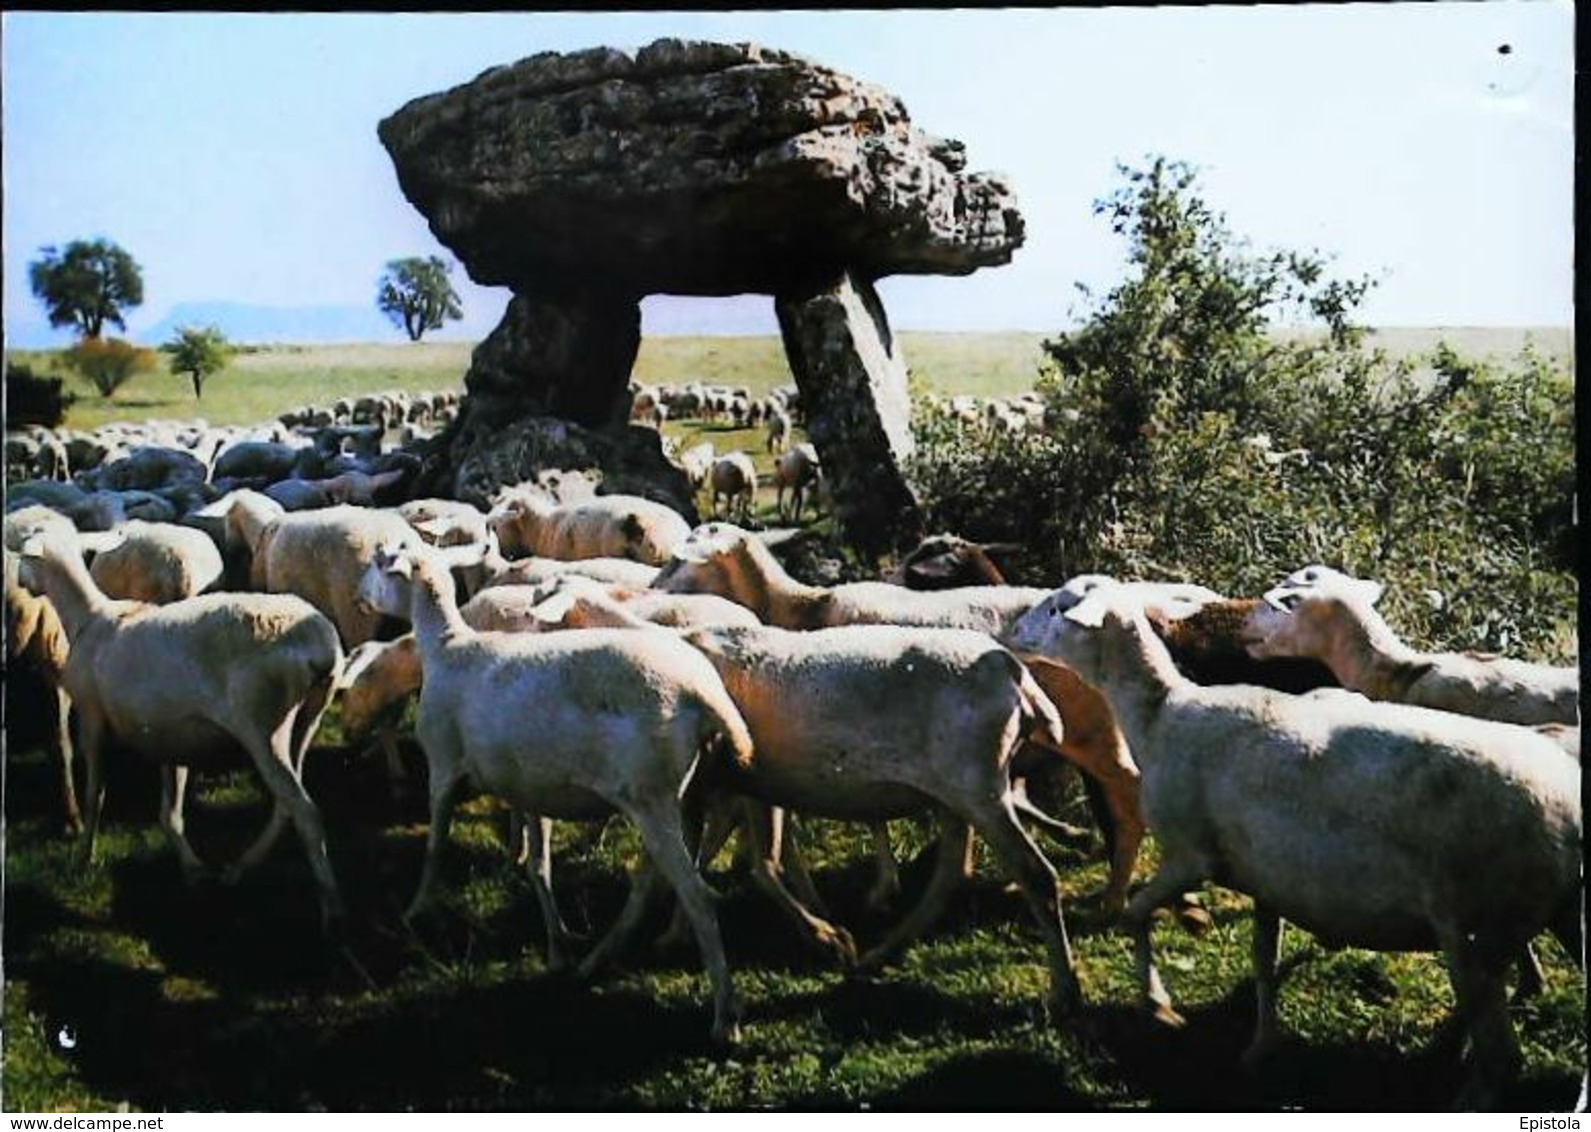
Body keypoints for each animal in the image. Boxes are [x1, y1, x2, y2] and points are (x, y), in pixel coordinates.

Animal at [17, 524, 346, 934]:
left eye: (24, 555)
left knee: (304, 811)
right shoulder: (168, 732)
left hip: (262, 726)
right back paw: (238, 870)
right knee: (285, 806)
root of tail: (322, 647)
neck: (89, 619)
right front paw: (193, 870)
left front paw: (83, 856)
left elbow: (95, 795)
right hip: (308, 717)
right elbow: (170, 810)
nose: (19, 581)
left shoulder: (91, 717)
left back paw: (331, 907)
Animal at [359, 543, 750, 1036]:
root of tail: (702, 693)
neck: (447, 647)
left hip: (650, 796)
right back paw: (596, 960)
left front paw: (416, 910)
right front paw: (558, 945)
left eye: (380, 561)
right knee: (651, 882)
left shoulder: (443, 767)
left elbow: (435, 847)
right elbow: (538, 867)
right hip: (675, 795)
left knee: (698, 896)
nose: (360, 597)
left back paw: (725, 1014)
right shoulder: (528, 786)